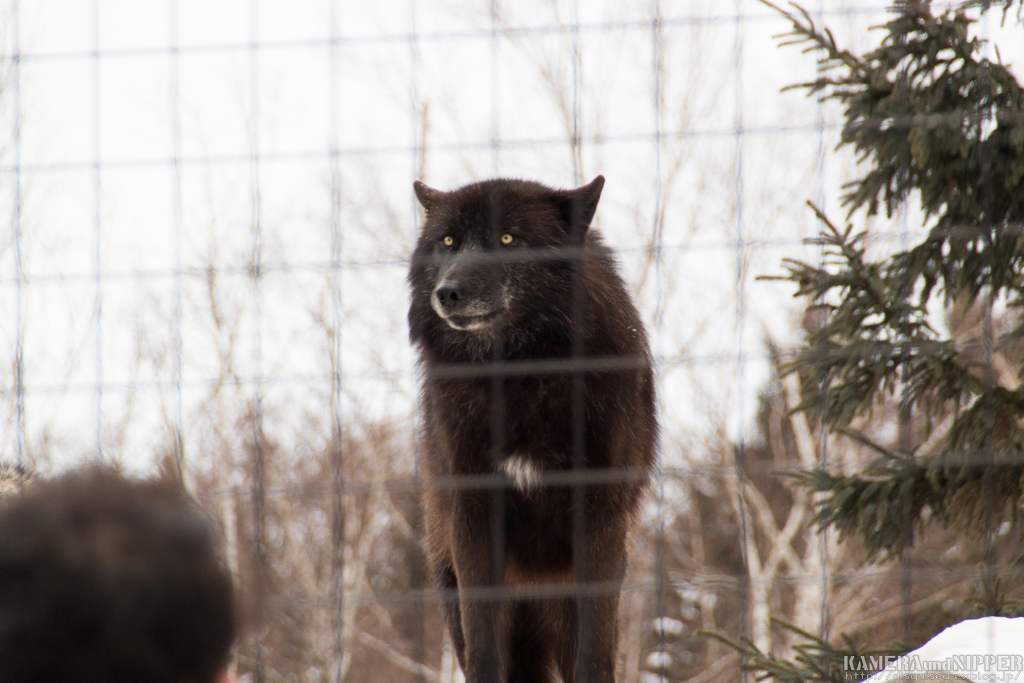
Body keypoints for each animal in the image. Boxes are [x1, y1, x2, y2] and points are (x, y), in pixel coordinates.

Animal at [407, 178, 655, 683]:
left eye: (507, 239)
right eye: (448, 241)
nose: (448, 293)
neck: (521, 376)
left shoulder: (600, 515)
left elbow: (595, 652)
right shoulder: (473, 516)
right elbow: (483, 644)